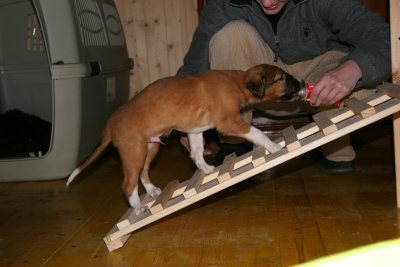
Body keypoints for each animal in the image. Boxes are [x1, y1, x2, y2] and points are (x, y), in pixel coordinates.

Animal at [67, 64, 302, 216]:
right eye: (281, 78)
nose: (301, 83)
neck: (238, 81)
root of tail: (109, 124)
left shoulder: (195, 130)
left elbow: (196, 153)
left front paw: (206, 169)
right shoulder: (229, 123)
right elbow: (257, 132)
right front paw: (273, 146)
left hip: (150, 147)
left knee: (143, 173)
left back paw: (152, 191)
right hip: (135, 151)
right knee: (128, 183)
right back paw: (137, 206)